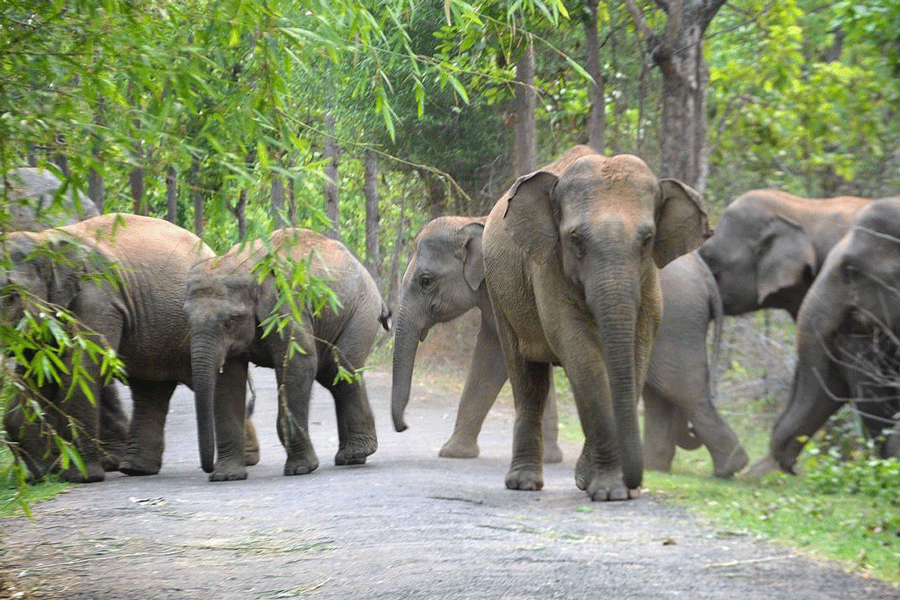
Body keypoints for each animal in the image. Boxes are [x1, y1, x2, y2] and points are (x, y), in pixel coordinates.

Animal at [1, 213, 258, 482]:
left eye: (11, 296)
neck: (44, 238)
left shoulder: (98, 298)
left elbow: (81, 370)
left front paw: (81, 477)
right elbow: (38, 372)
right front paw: (37, 475)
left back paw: (246, 460)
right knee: (150, 389)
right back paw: (135, 469)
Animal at [184, 228, 391, 481]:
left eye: (230, 321)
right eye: (186, 318)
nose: (208, 468)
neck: (244, 264)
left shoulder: (287, 306)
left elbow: (299, 364)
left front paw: (300, 469)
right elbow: (228, 380)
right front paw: (226, 476)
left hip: (361, 311)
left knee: (341, 371)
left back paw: (356, 454)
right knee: (332, 376)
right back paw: (349, 457)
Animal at [481, 145, 711, 501]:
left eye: (648, 239)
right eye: (575, 239)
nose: (636, 482)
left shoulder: (649, 280)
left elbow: (637, 350)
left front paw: (599, 486)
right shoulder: (548, 266)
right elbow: (581, 352)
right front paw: (611, 492)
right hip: (499, 291)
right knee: (528, 378)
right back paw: (524, 483)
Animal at [643, 250, 749, 478]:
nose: (692, 431)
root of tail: (700, 267)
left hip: (673, 316)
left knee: (679, 390)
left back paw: (730, 467)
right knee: (660, 391)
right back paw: (654, 468)